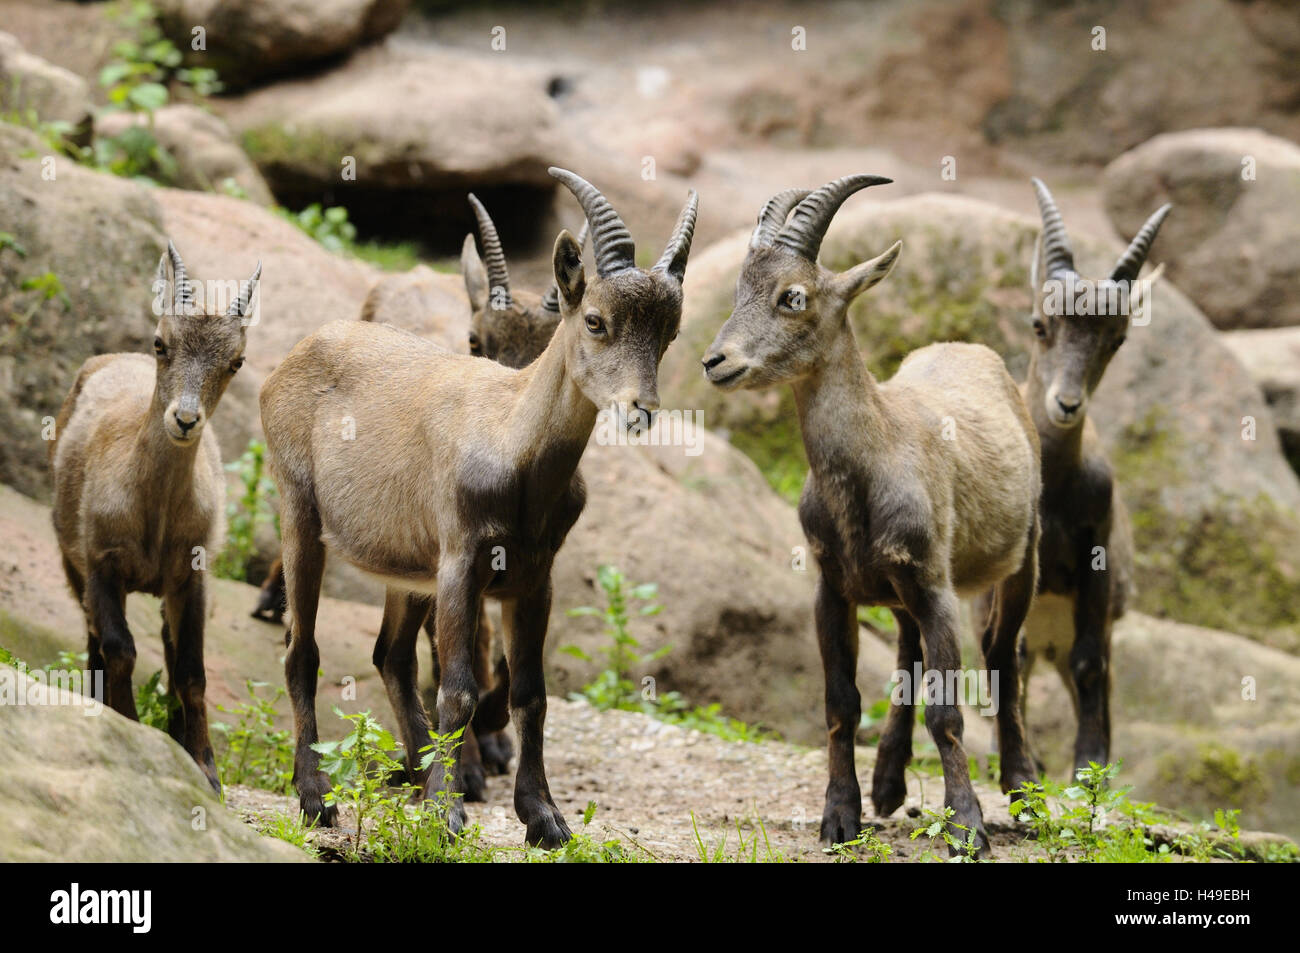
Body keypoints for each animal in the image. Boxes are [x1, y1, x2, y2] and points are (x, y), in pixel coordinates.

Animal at [50, 241, 260, 792]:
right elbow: (119, 649)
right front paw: (128, 728)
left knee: (168, 645)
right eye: (161, 343)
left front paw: (205, 769)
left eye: (236, 361)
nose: (185, 420)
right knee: (93, 641)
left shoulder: (193, 575)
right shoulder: (101, 564)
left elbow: (191, 670)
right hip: (69, 560)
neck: (155, 514)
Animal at [259, 168, 698, 846]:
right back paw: (317, 798)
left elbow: (530, 693)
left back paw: (415, 778)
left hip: (408, 569)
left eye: (668, 334)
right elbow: (459, 689)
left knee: (389, 656)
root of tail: (291, 360)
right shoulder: (461, 562)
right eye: (595, 321)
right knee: (301, 652)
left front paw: (544, 817)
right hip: (300, 513)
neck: (512, 447)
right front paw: (449, 813)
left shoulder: (533, 578)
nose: (640, 410)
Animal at [702, 177, 1041, 853]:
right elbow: (841, 704)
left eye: (793, 296)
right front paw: (840, 817)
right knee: (908, 652)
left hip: (1024, 555)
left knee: (1003, 655)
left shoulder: (936, 586)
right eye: (740, 291)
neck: (874, 457)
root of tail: (971, 349)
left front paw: (967, 826)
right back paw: (888, 782)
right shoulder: (832, 588)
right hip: (900, 587)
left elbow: (948, 709)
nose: (715, 361)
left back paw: (1022, 790)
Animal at [986, 179, 1169, 774]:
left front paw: (1089, 766)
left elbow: (1091, 666)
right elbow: (1007, 652)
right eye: (1040, 325)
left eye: (1117, 339)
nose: (1066, 404)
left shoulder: (1097, 554)